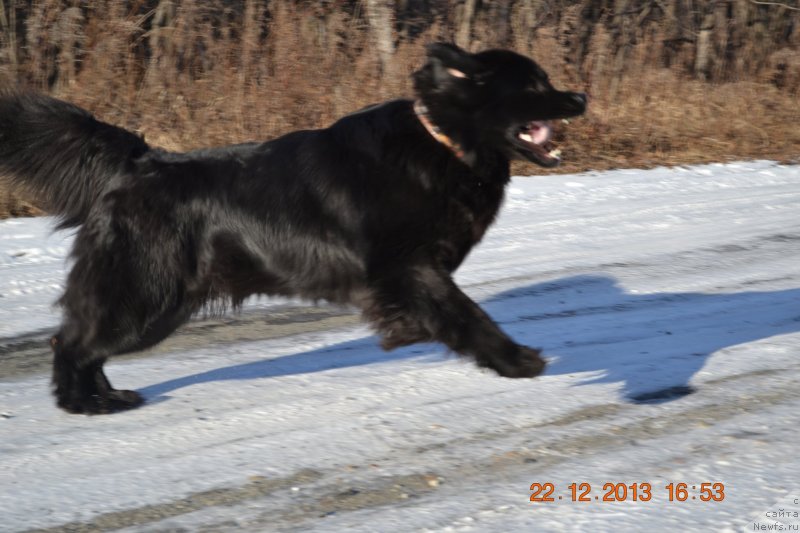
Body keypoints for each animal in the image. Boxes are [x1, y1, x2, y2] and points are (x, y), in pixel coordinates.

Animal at [0, 43, 588, 414]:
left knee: (84, 343)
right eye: (533, 84)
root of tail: (139, 163)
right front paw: (516, 360)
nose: (580, 96)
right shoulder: (410, 265)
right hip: (143, 295)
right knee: (72, 342)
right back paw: (84, 404)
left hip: (156, 302)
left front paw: (408, 332)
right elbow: (467, 314)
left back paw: (106, 398)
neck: (441, 140)